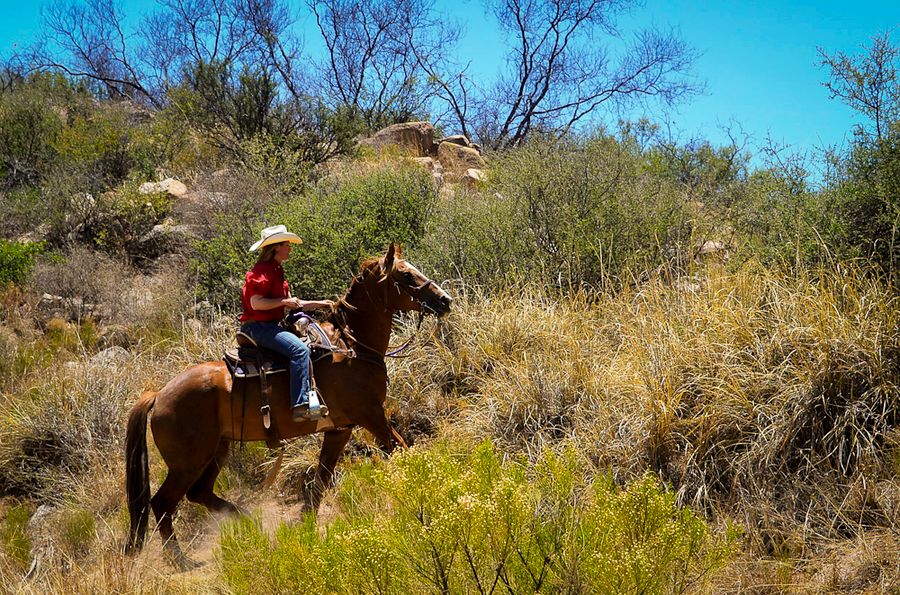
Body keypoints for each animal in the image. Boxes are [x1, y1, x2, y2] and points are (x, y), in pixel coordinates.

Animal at [123, 242, 454, 564]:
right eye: (406, 275)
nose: (445, 300)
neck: (352, 347)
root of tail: (159, 394)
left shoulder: (340, 429)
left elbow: (320, 481)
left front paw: (305, 528)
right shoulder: (372, 415)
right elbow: (403, 450)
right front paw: (431, 489)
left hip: (217, 449)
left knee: (199, 493)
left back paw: (248, 521)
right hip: (187, 462)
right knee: (163, 503)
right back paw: (181, 559)